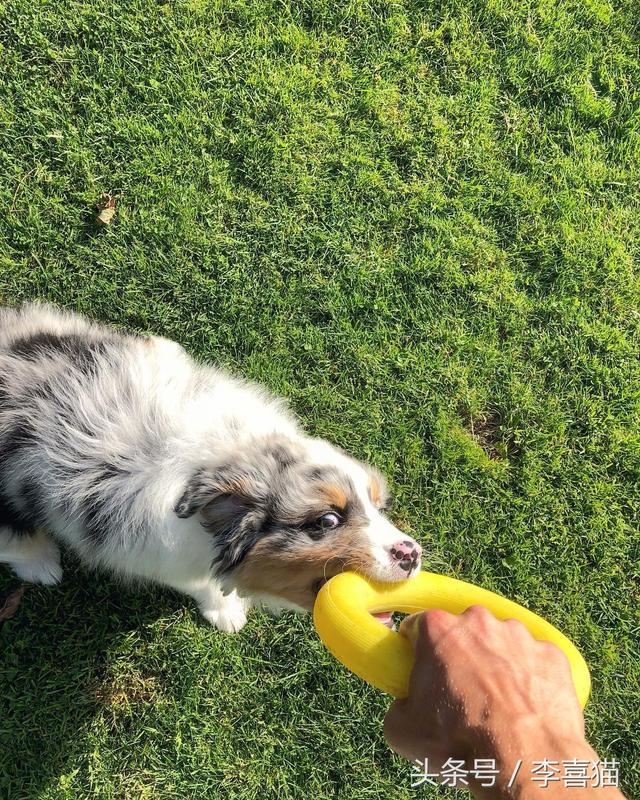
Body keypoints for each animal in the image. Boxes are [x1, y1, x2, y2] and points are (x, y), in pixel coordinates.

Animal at [0, 304, 422, 628]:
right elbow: (201, 582)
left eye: (377, 506)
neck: (226, 453)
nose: (412, 554)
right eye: (327, 520)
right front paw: (227, 614)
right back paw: (42, 565)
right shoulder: (164, 555)